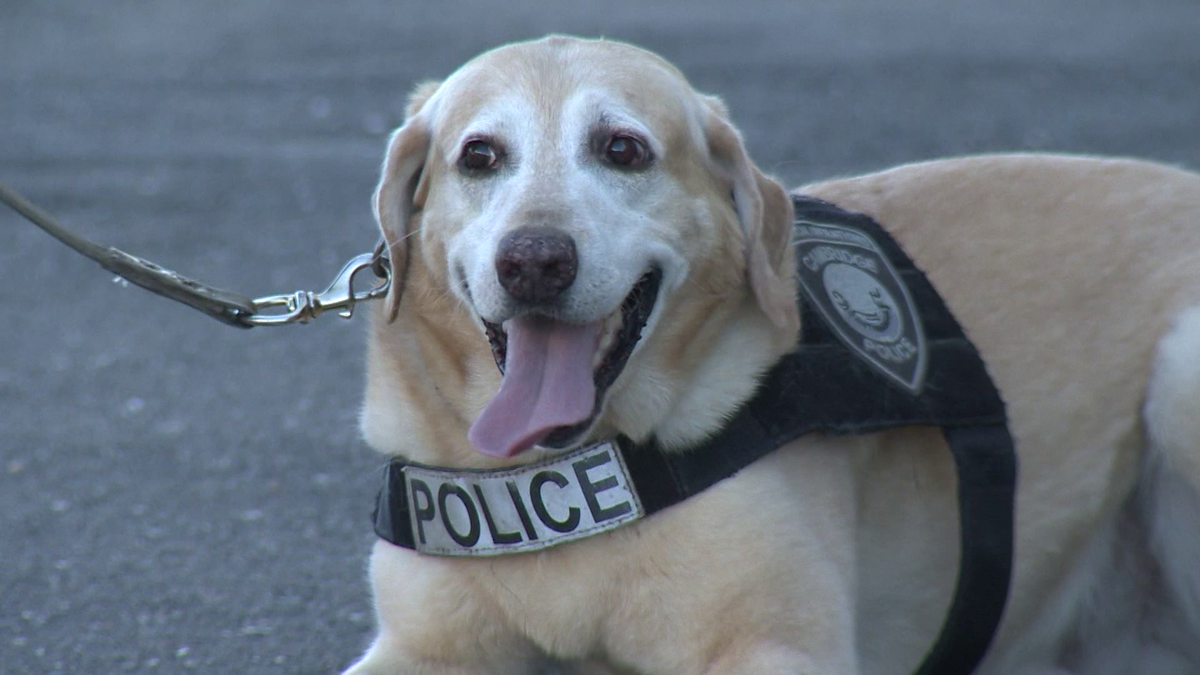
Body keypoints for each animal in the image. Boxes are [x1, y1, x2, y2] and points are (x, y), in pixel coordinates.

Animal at [343, 38, 1200, 672]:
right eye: (479, 156)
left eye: (623, 149)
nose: (533, 261)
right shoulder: (423, 646)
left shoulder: (772, 645)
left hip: (1178, 379)